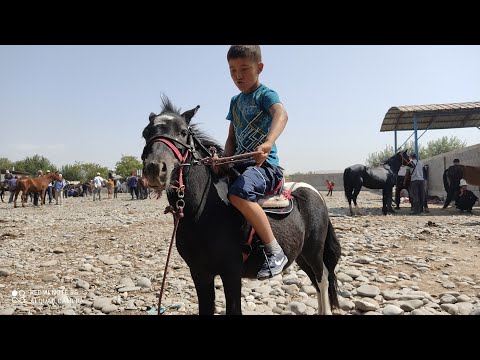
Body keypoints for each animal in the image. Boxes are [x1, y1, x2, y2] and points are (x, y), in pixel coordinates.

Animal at [142, 97, 342, 316]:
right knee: (315, 281)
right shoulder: (199, 272)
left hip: (314, 251)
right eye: (145, 133)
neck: (203, 212)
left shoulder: (231, 272)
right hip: (301, 254)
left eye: (183, 131)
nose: (154, 169)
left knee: (322, 278)